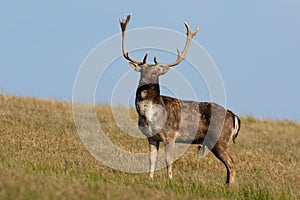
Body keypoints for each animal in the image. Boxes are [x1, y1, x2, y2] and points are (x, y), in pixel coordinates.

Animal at [119, 14, 241, 186]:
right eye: (142, 70)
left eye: (156, 72)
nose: (146, 84)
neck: (149, 117)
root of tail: (234, 116)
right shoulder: (151, 137)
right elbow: (151, 160)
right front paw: (150, 179)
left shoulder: (170, 135)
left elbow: (168, 160)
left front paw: (170, 180)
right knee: (229, 165)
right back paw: (226, 185)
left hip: (219, 139)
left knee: (232, 162)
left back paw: (231, 187)